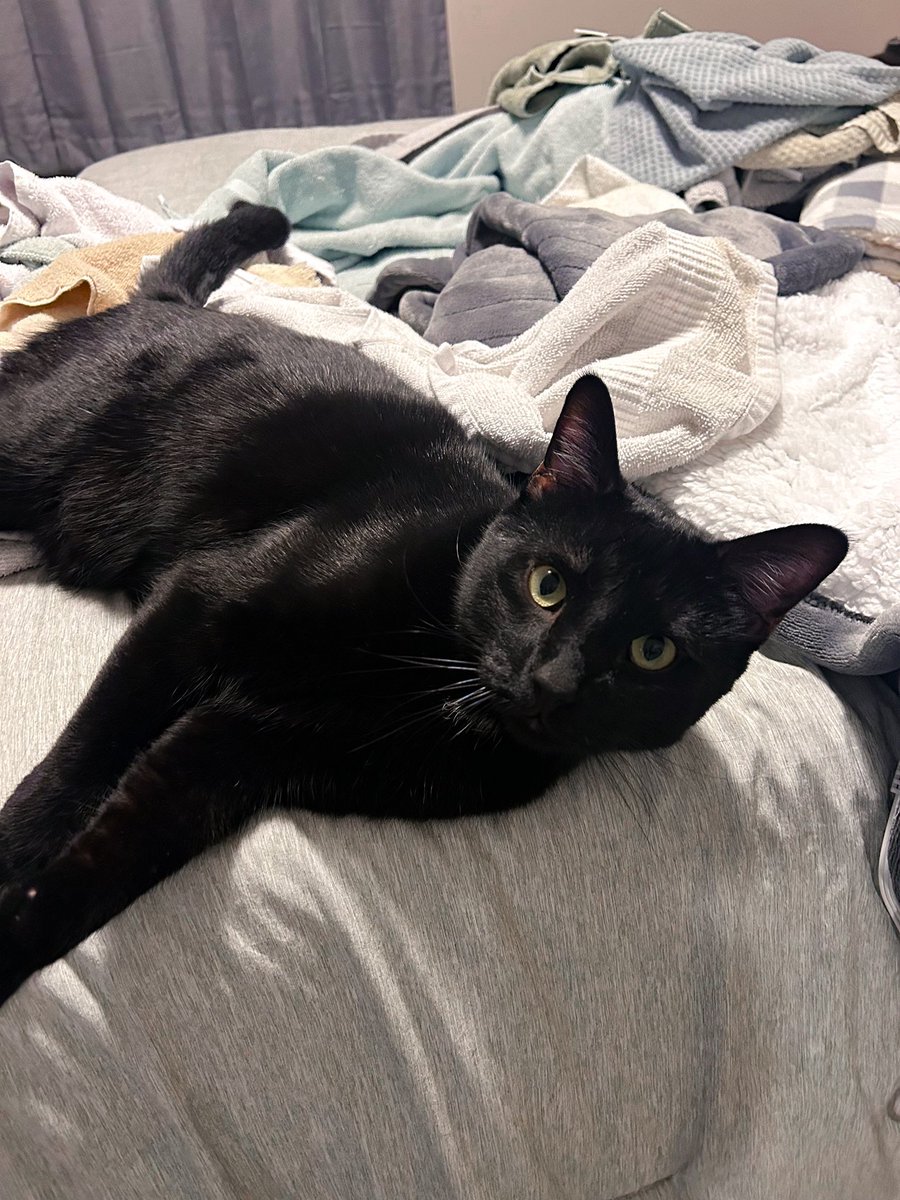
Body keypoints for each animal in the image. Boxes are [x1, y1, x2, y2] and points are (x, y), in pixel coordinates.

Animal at [0, 206, 844, 1003]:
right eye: (547, 585)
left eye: (654, 652)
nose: (554, 680)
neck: (431, 675)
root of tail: (167, 304)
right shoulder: (196, 609)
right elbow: (86, 755)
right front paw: (14, 849)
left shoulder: (236, 751)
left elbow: (113, 859)